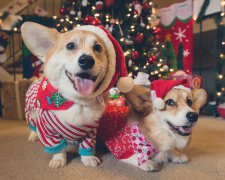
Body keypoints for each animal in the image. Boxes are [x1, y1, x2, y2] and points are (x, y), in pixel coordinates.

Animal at [22, 22, 149, 169]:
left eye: (98, 47)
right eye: (70, 46)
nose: (87, 60)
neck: (77, 101)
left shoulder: (91, 131)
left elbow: (87, 146)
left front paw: (88, 159)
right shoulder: (48, 131)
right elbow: (58, 148)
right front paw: (59, 160)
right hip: (30, 114)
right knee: (32, 126)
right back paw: (33, 136)